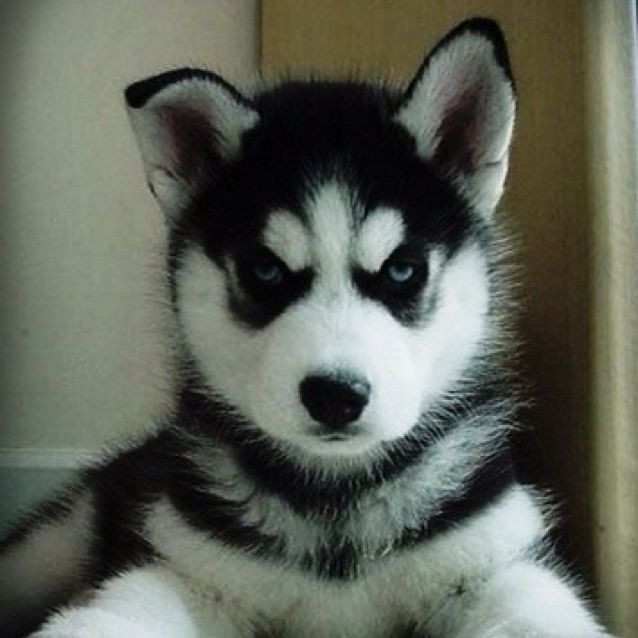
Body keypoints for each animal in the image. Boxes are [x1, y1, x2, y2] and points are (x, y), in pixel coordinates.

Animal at [0, 18, 614, 638]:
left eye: (402, 269)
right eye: (265, 270)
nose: (335, 395)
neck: (335, 502)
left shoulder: (493, 555)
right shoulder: (187, 563)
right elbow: (110, 613)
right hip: (53, 541)